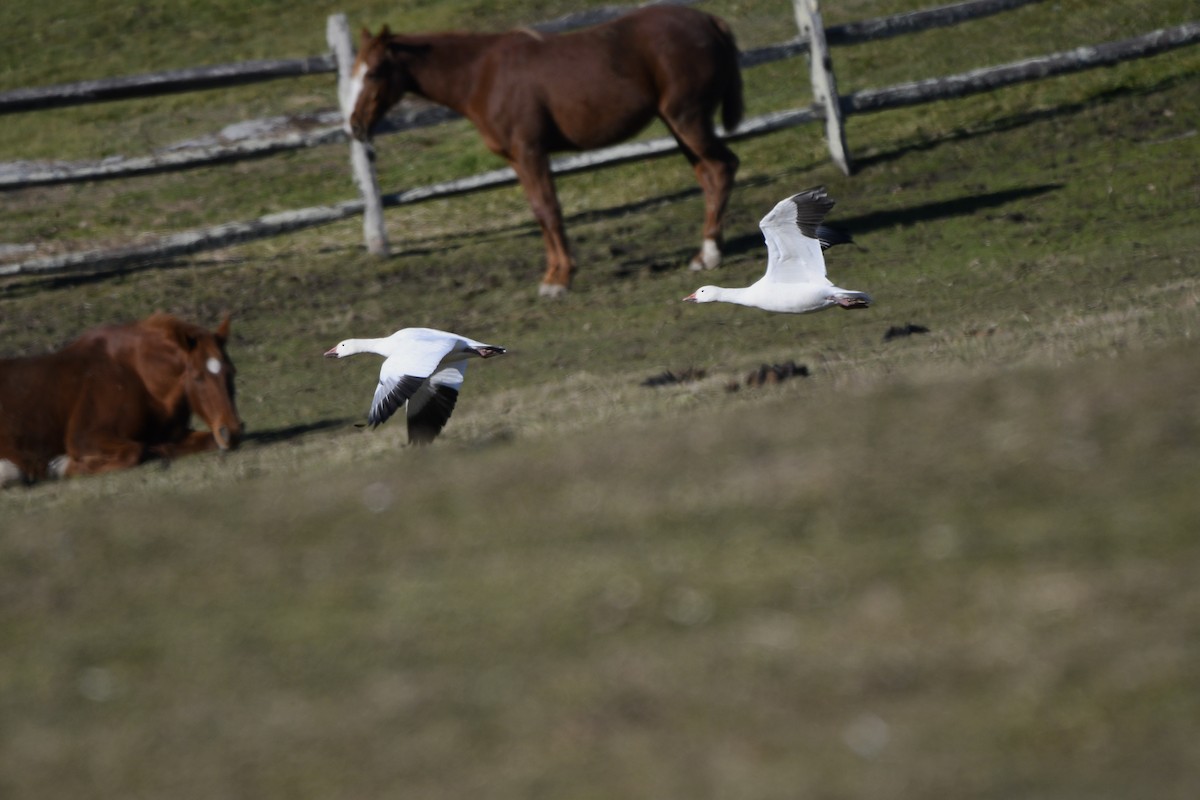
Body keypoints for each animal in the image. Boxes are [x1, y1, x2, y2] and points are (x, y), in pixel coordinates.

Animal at [0, 316, 243, 484]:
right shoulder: (84, 439)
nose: (232, 432)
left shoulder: (174, 434)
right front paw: (60, 466)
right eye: (198, 377)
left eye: (232, 372)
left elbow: (205, 441)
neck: (139, 378)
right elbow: (134, 451)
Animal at [345, 3, 739, 297]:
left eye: (375, 72)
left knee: (722, 167)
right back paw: (706, 252)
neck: (482, 76)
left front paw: (561, 279)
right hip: (678, 125)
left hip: (688, 120)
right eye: (354, 72)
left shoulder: (531, 153)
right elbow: (538, 212)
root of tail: (710, 20)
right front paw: (553, 274)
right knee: (708, 175)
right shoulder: (518, 161)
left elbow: (550, 210)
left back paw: (711, 254)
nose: (355, 126)